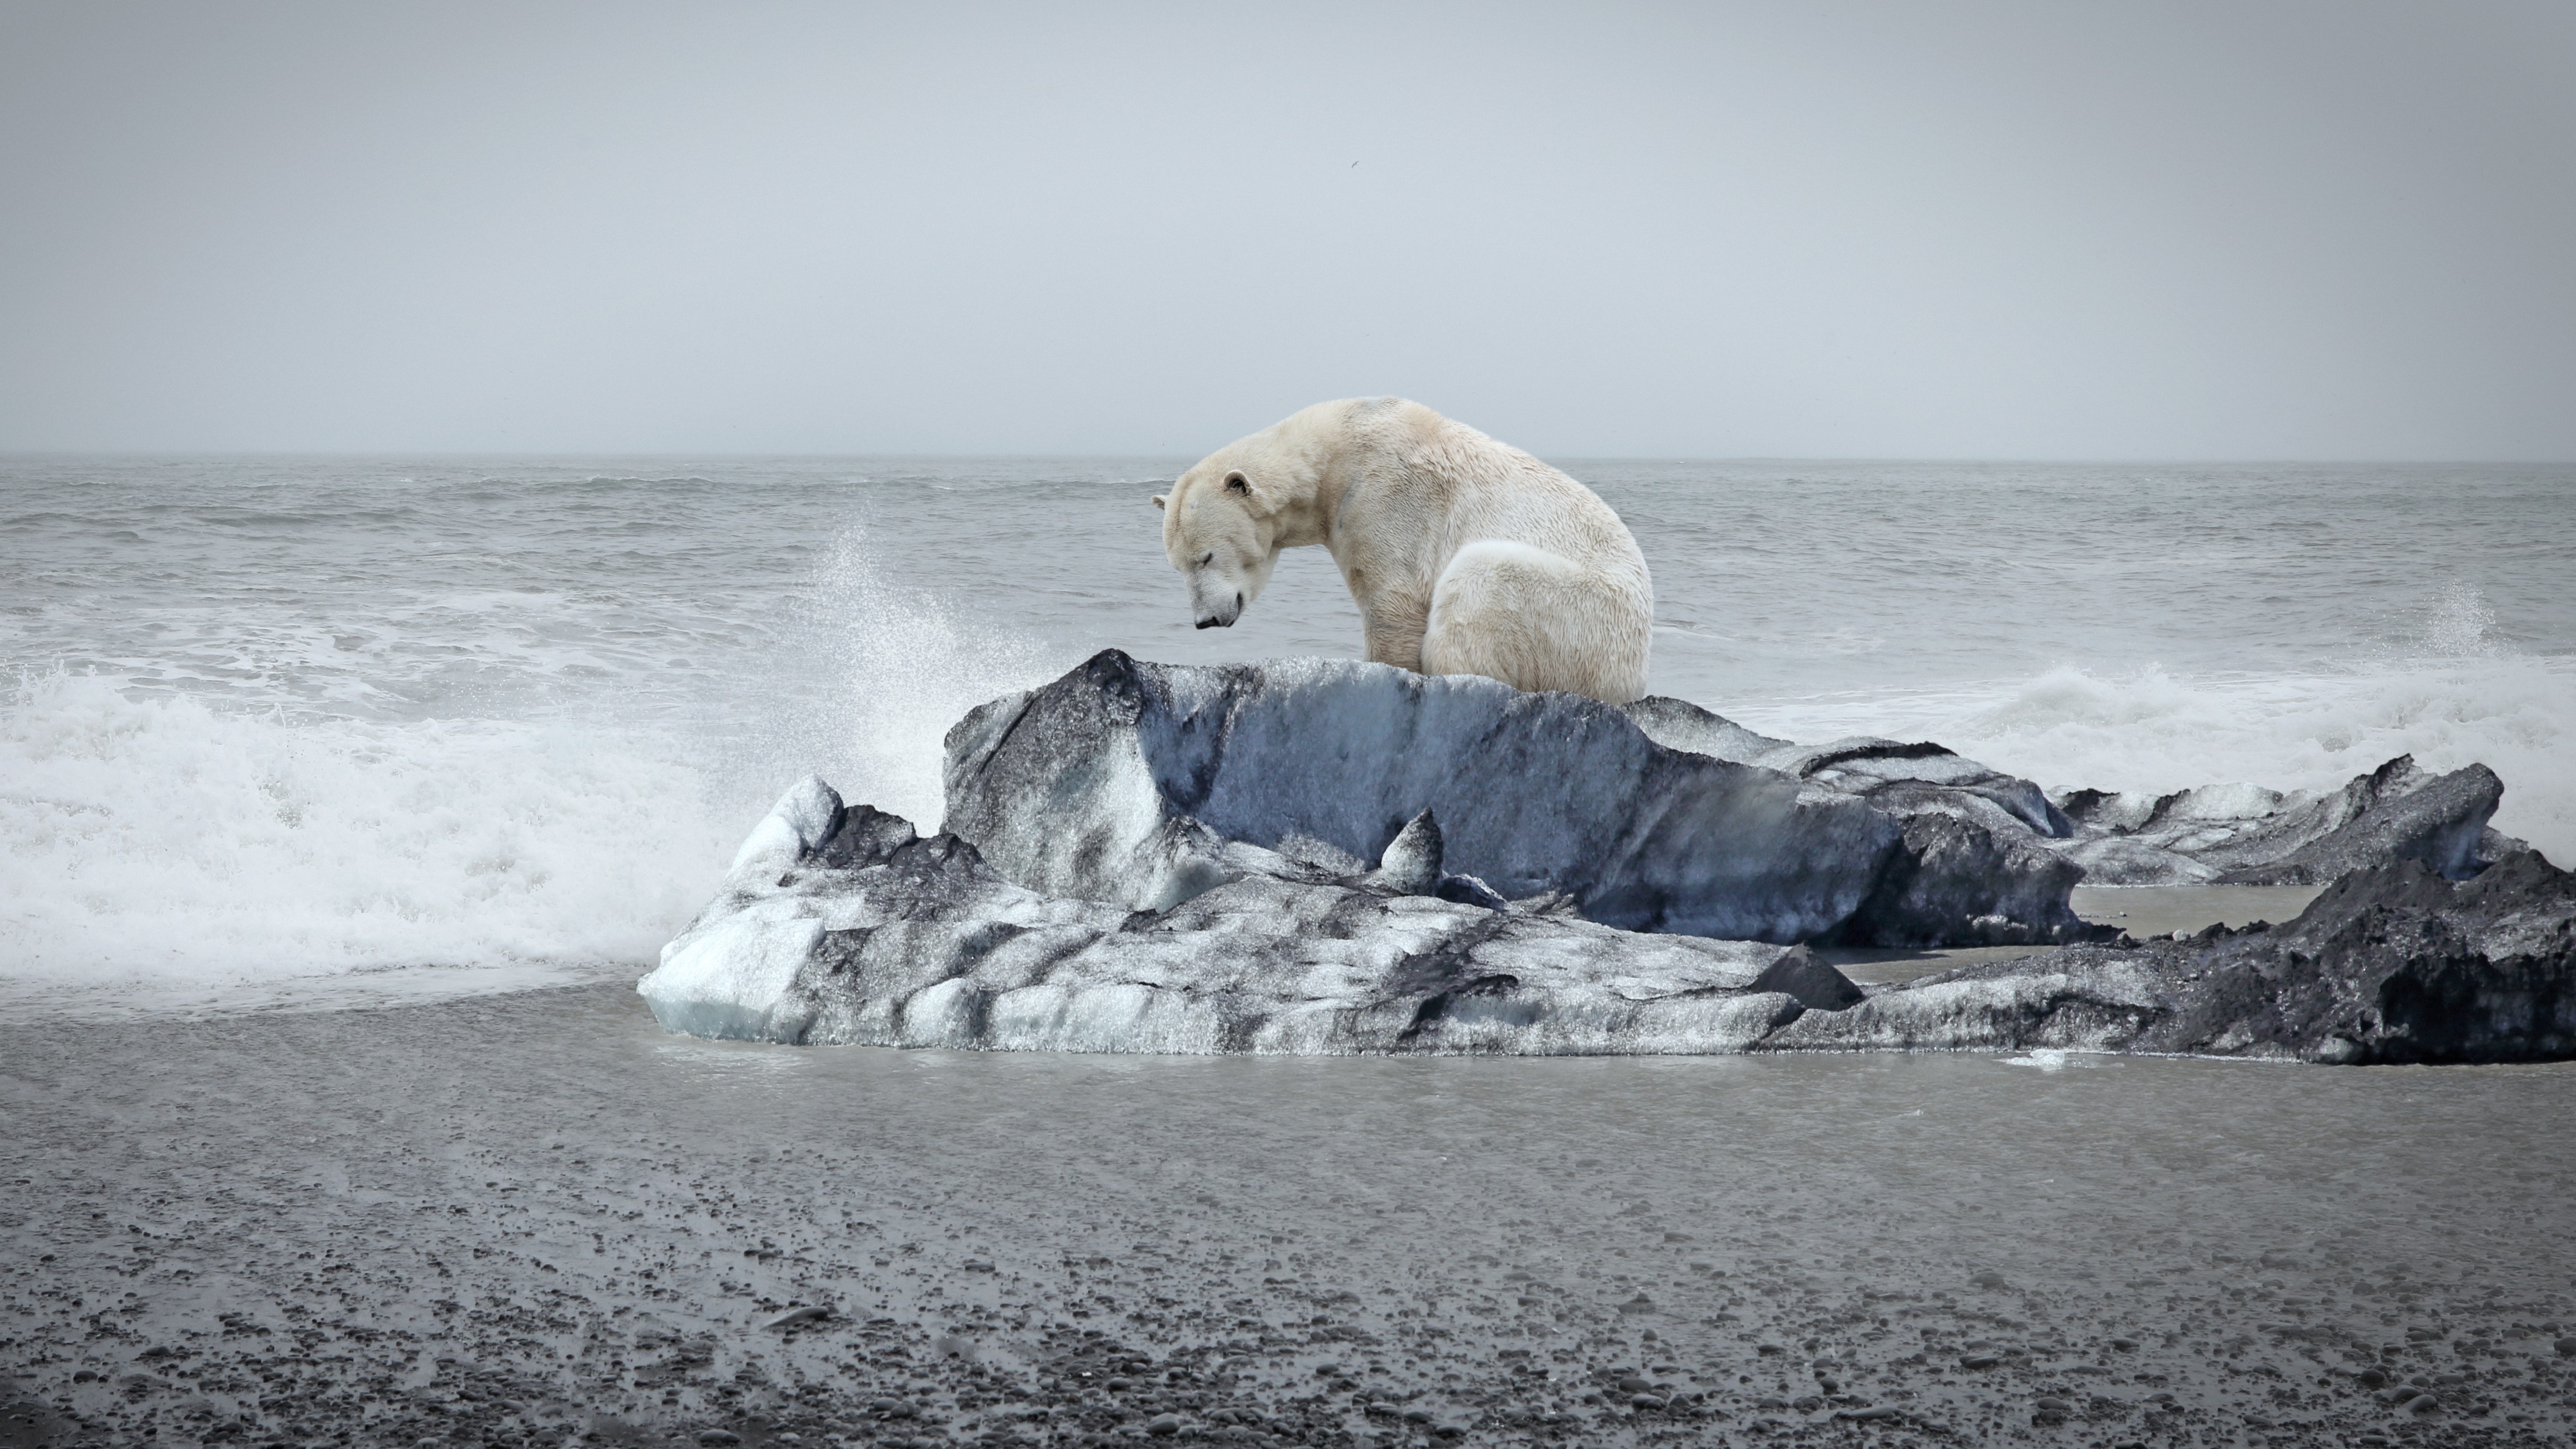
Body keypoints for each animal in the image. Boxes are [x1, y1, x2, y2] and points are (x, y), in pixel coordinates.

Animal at [1153, 397, 1655, 704]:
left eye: (1206, 557)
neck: (1335, 452)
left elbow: (1392, 605)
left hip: (1583, 617)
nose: (1205, 621)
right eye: (1177, 567)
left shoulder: (1386, 499)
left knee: (1480, 579)